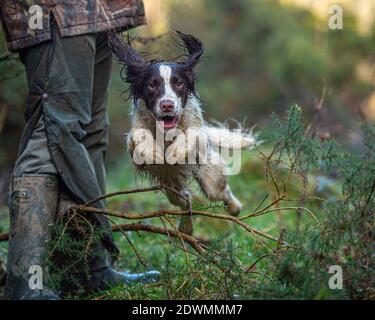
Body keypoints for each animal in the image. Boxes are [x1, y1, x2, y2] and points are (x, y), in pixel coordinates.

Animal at [107, 31, 258, 235]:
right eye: (152, 85)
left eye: (178, 83)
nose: (167, 105)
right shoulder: (134, 137)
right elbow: (138, 135)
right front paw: (154, 152)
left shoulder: (197, 130)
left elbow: (192, 134)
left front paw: (175, 152)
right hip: (172, 186)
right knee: (185, 199)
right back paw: (186, 228)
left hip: (210, 176)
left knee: (220, 192)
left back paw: (235, 208)